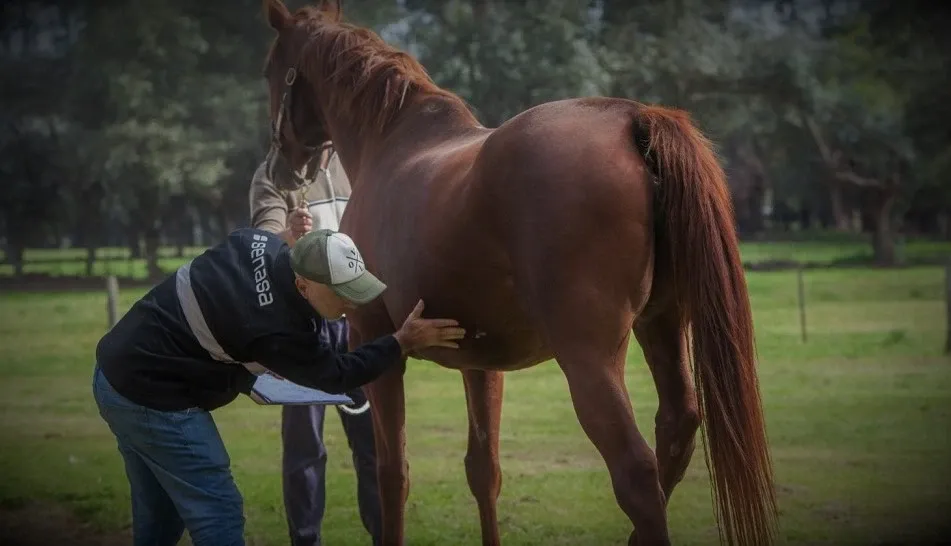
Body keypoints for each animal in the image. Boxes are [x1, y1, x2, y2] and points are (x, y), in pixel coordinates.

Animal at [264, 2, 776, 540]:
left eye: (271, 68)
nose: (281, 168)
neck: (391, 142)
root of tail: (632, 119)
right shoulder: (479, 361)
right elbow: (483, 470)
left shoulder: (375, 340)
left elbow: (392, 473)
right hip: (662, 323)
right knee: (675, 430)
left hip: (589, 358)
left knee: (637, 473)